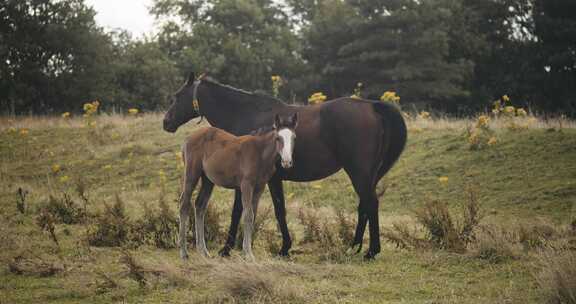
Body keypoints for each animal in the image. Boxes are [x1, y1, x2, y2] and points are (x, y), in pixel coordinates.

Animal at [179, 113, 296, 260]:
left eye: (294, 138)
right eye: (278, 138)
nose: (287, 162)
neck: (260, 153)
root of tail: (187, 139)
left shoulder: (259, 187)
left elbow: (253, 215)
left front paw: (247, 251)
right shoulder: (246, 185)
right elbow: (248, 214)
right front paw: (248, 253)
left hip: (208, 180)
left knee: (200, 206)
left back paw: (203, 251)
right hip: (192, 174)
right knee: (184, 204)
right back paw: (184, 252)